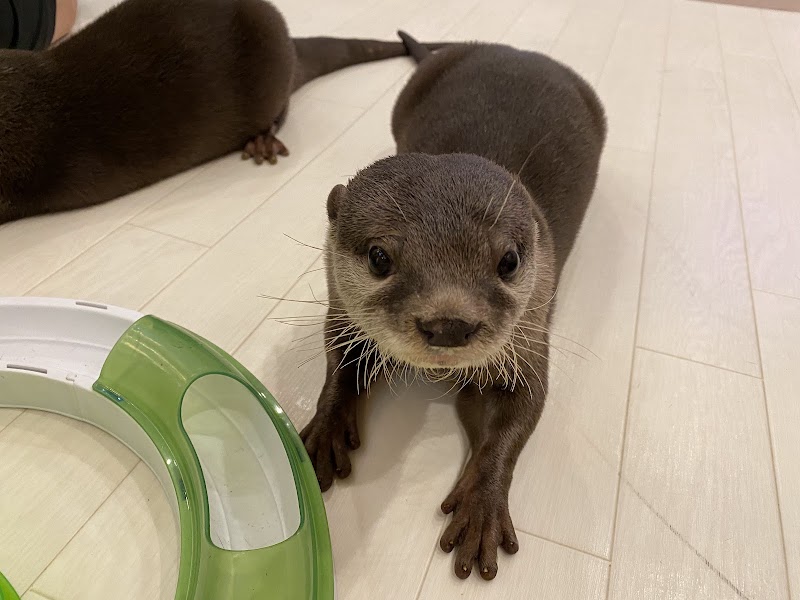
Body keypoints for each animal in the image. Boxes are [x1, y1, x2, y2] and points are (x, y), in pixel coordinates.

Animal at [299, 32, 606, 580]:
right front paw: (322, 437)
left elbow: (517, 415)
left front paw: (481, 505)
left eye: (508, 260)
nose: (449, 324)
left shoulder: (528, 344)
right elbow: (339, 363)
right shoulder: (340, 310)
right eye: (379, 256)